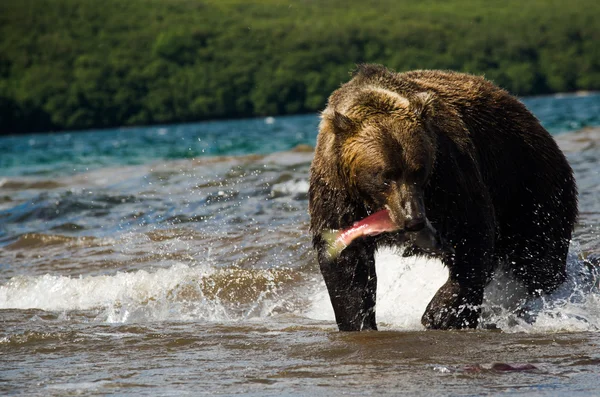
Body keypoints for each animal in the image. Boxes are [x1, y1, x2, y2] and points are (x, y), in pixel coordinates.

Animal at [310, 64, 576, 332]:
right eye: (385, 176)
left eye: (418, 171)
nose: (413, 219)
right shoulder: (337, 193)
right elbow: (347, 263)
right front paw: (359, 322)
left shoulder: (448, 174)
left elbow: (471, 231)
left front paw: (441, 314)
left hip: (529, 185)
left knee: (539, 258)